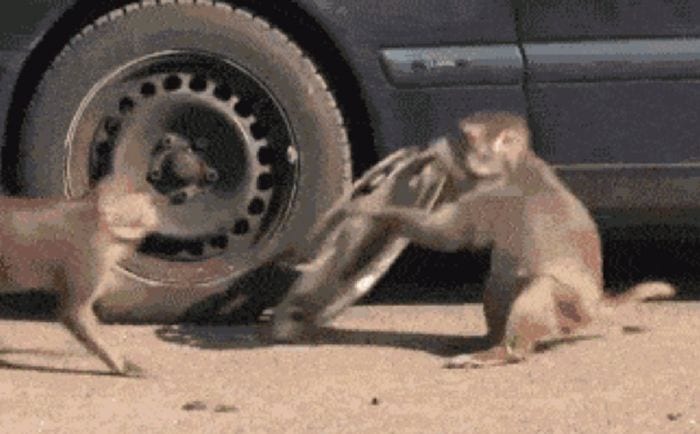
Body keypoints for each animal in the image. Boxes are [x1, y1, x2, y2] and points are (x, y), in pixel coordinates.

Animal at [345, 111, 675, 368]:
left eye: (465, 136)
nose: (443, 140)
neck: (514, 164)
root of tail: (594, 305)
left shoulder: (493, 196)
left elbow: (449, 233)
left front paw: (376, 211)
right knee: (498, 284)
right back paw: (488, 340)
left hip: (569, 307)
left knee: (539, 288)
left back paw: (502, 352)